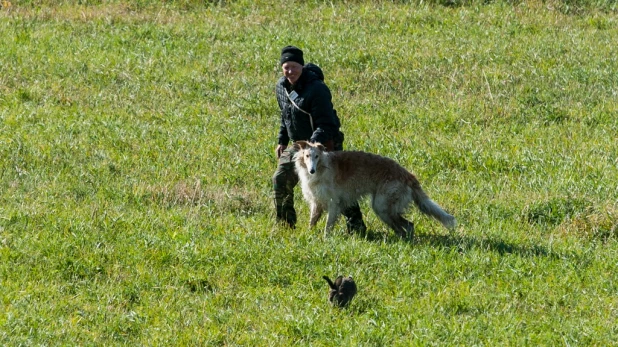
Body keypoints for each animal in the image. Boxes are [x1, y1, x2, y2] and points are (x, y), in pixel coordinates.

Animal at [292, 141, 454, 239]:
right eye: (307, 156)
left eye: (316, 156)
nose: (311, 170)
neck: (321, 169)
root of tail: (408, 175)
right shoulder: (316, 202)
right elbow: (312, 222)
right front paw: (309, 235)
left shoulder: (334, 203)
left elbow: (328, 226)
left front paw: (326, 240)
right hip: (384, 209)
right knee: (406, 227)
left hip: (382, 206)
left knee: (408, 226)